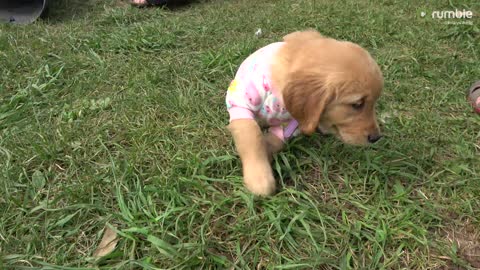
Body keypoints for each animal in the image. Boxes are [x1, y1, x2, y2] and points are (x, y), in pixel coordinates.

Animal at [227, 29, 384, 195]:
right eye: (357, 104)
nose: (376, 138)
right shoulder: (240, 102)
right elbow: (252, 135)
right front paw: (259, 178)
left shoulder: (293, 124)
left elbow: (276, 139)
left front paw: (267, 151)